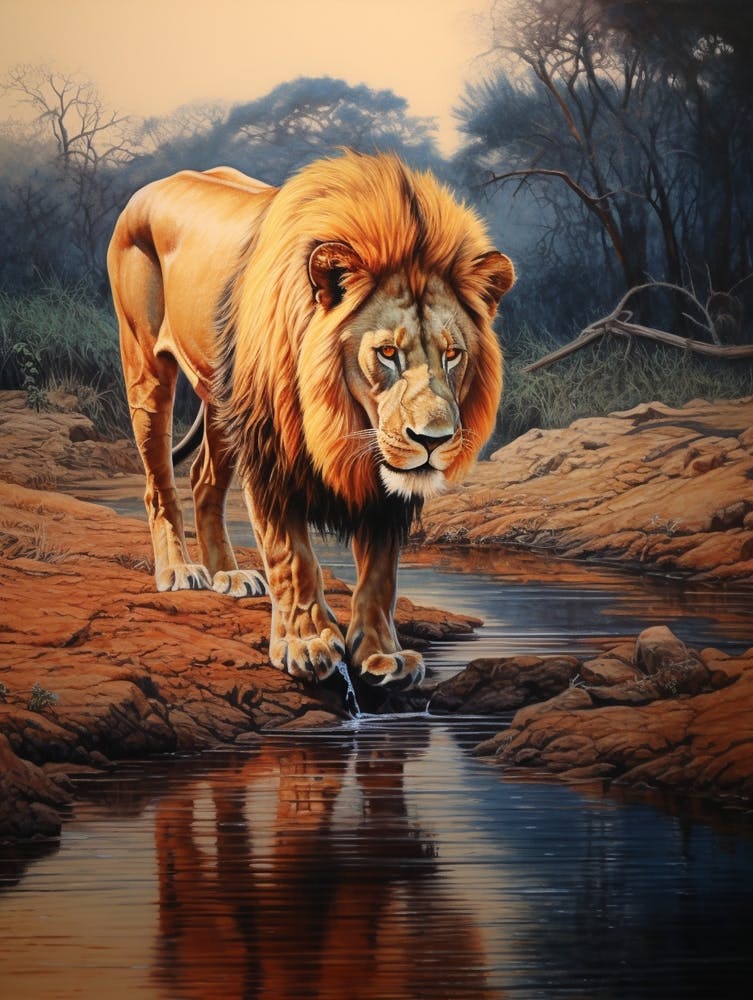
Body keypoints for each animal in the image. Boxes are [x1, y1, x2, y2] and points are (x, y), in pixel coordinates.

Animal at [107, 151, 514, 689]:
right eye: (387, 353)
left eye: (452, 355)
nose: (432, 440)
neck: (341, 421)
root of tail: (149, 188)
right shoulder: (267, 449)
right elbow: (292, 556)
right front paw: (306, 643)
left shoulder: (383, 484)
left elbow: (381, 571)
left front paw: (381, 655)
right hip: (146, 368)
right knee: (159, 482)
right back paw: (177, 570)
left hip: (222, 399)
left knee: (203, 479)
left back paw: (228, 575)